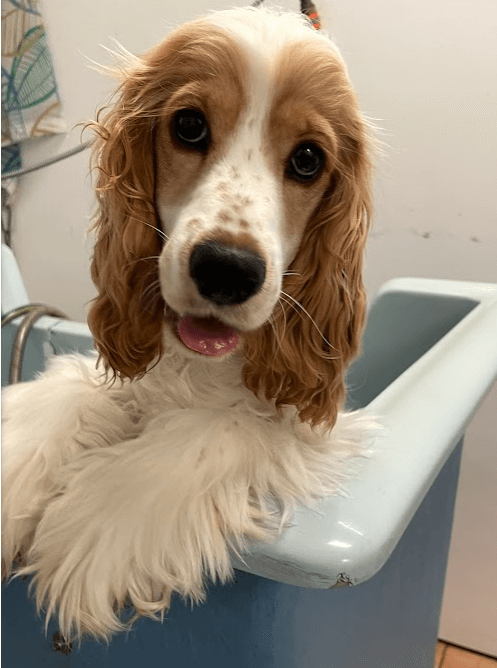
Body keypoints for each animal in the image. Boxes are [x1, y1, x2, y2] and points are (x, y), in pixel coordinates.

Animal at [1, 5, 374, 640]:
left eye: (307, 160)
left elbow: (226, 425)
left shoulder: (310, 430)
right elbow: (71, 388)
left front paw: (95, 524)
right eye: (190, 126)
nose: (227, 269)